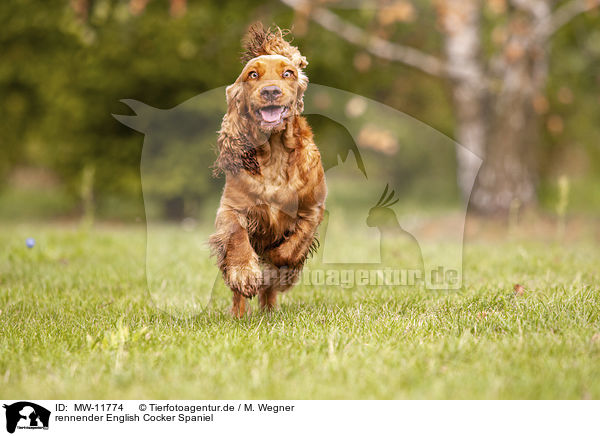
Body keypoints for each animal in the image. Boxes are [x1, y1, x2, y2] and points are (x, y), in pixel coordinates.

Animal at [209, 23, 326, 316]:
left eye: (288, 73)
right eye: (252, 75)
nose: (270, 91)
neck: (274, 154)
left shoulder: (312, 210)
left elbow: (292, 248)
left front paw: (275, 265)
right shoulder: (231, 208)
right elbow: (237, 237)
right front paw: (245, 274)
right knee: (237, 295)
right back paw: (239, 314)